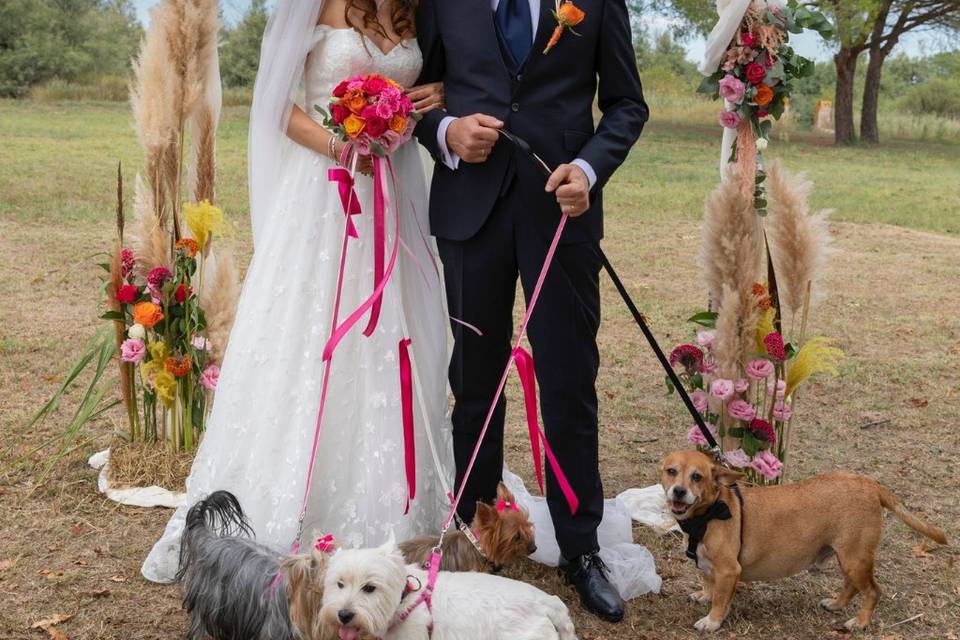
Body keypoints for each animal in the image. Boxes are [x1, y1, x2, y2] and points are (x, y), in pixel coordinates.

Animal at [660, 452, 944, 632]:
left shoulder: (729, 571)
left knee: (873, 592)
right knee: (852, 586)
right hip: (847, 557)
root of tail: (871, 485)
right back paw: (836, 604)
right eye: (671, 471)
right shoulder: (709, 566)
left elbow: (720, 600)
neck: (708, 514)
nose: (679, 491)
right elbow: (709, 583)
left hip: (855, 559)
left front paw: (712, 621)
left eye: (697, 477)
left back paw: (859, 623)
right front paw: (704, 596)